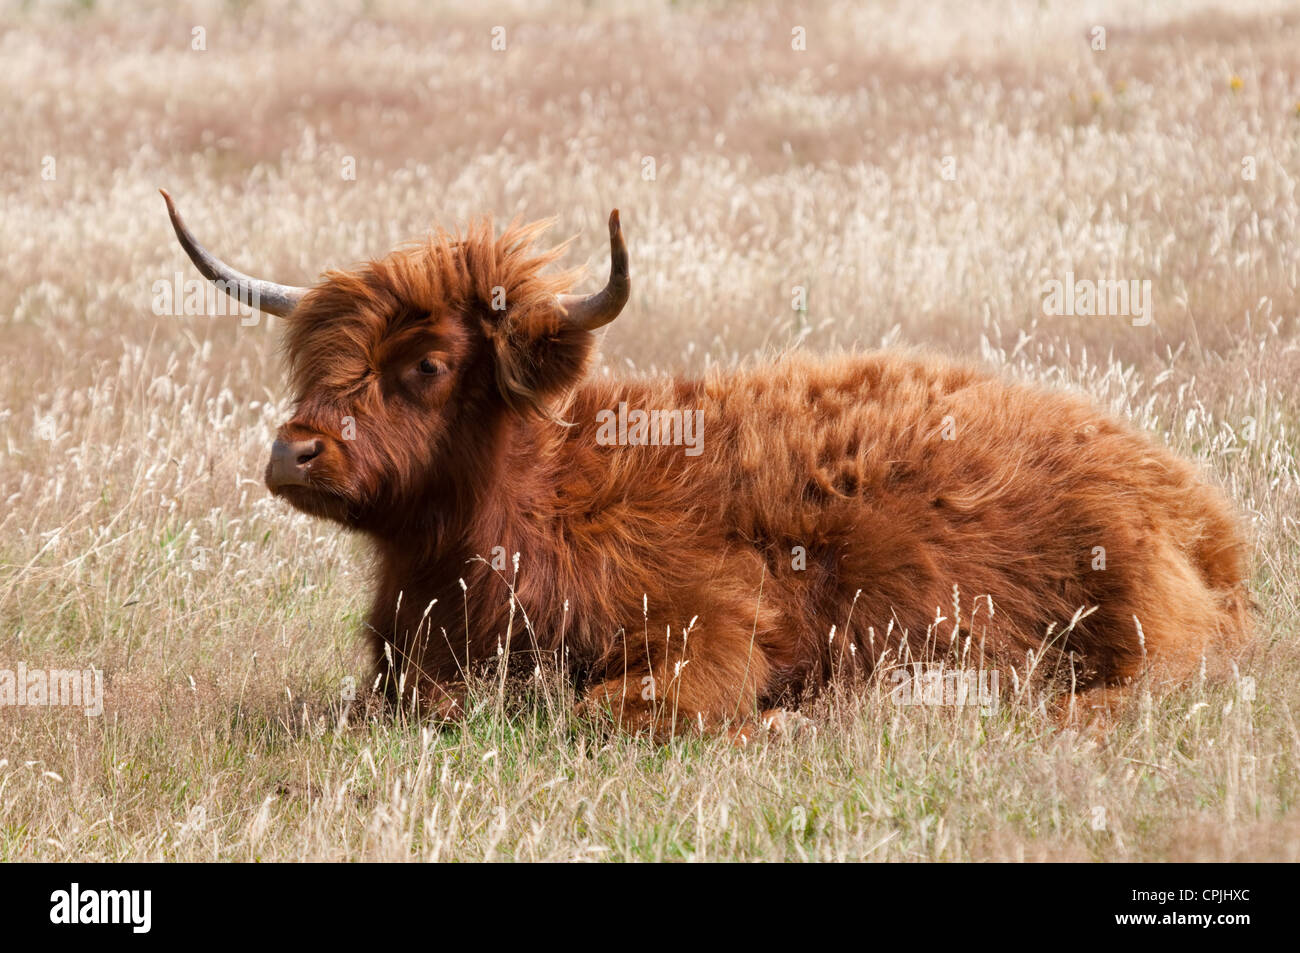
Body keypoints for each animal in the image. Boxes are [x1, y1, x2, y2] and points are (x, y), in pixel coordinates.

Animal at [162, 189, 1248, 738]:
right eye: (315, 362)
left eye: (426, 363)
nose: (293, 449)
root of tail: (1195, 507)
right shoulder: (402, 660)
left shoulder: (713, 625)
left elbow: (611, 708)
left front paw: (785, 721)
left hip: (1132, 616)